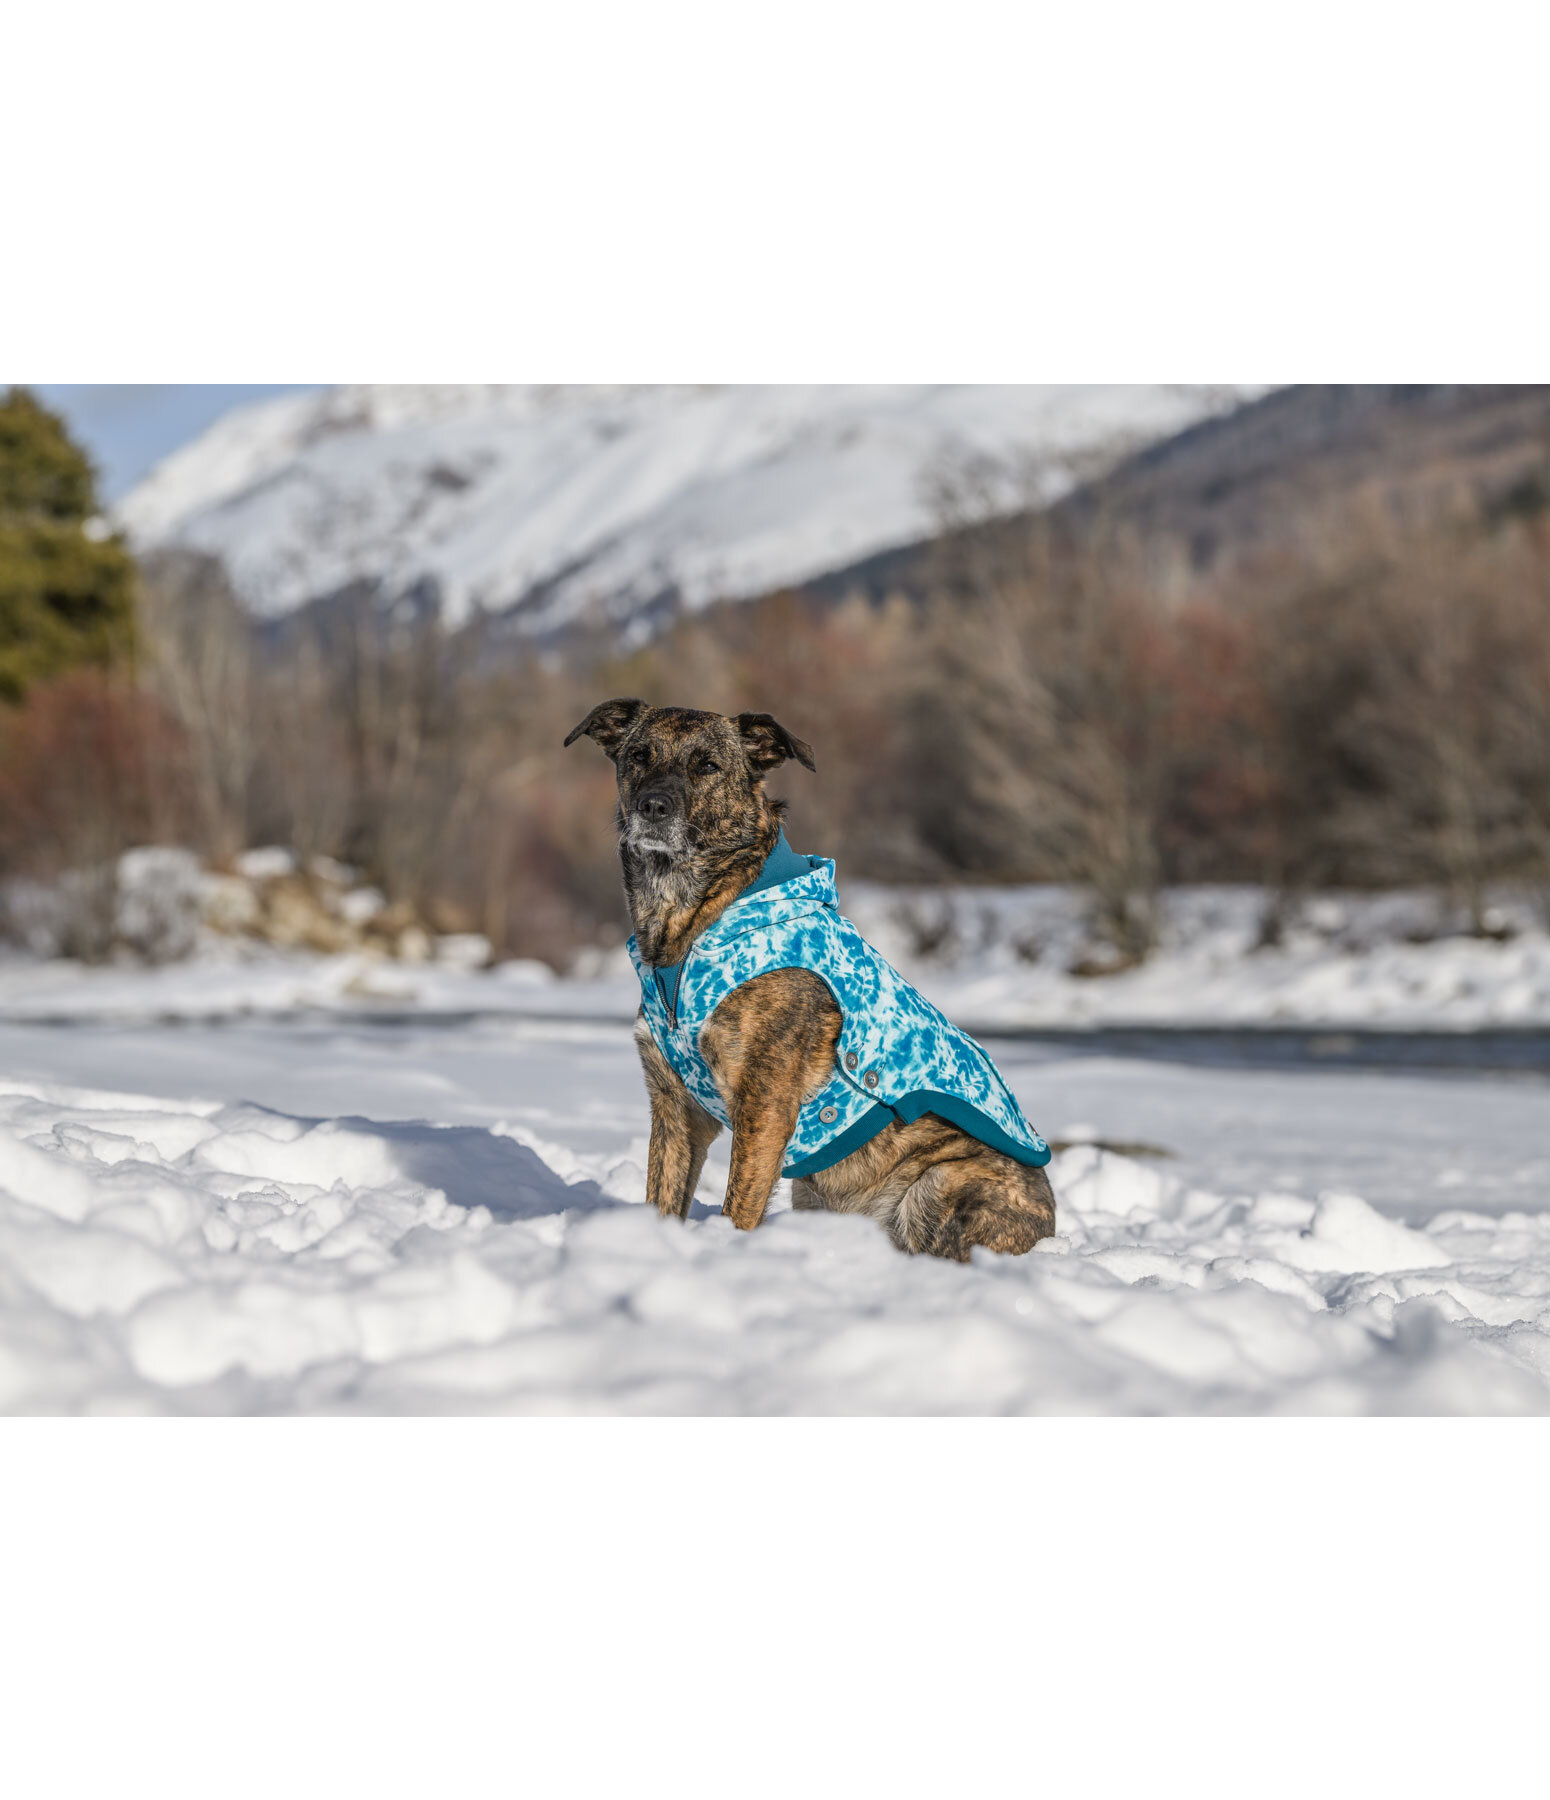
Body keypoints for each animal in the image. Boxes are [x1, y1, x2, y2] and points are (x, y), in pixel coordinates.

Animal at [561, 694, 1058, 1260]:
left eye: (708, 765)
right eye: (639, 755)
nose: (652, 806)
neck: (688, 920)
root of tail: (1051, 1225)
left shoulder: (765, 1106)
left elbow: (738, 1210)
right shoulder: (676, 1110)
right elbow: (662, 1199)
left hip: (936, 1186)